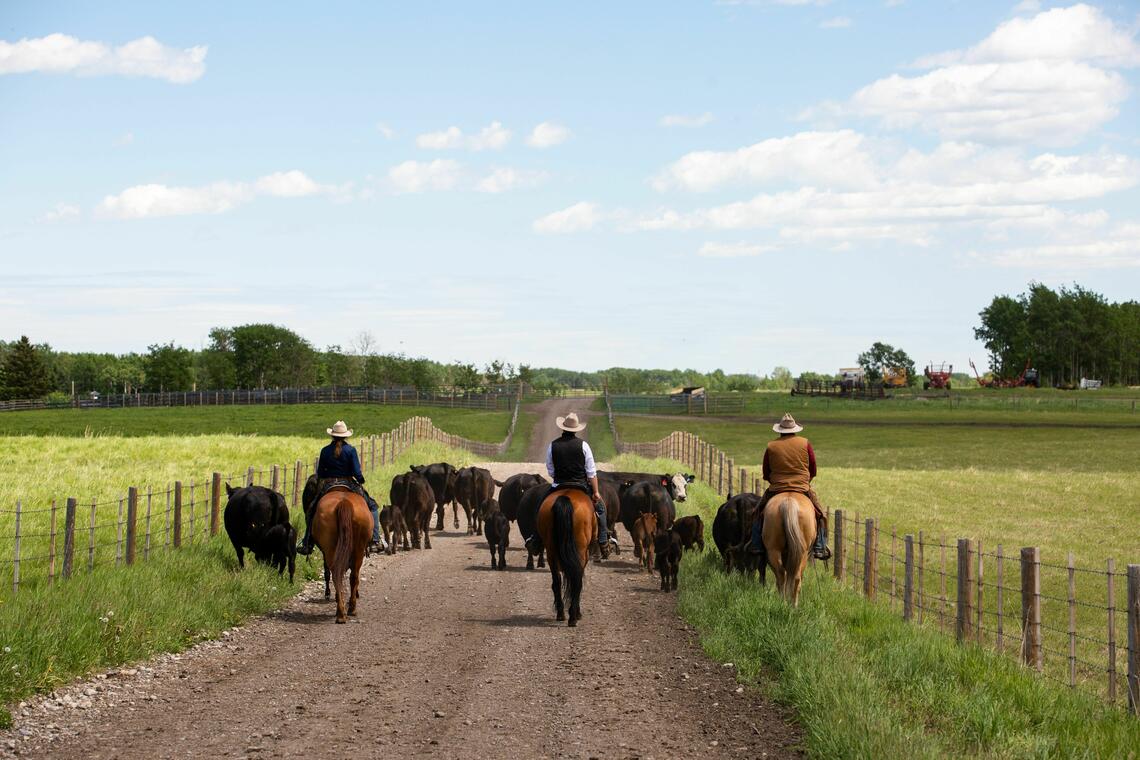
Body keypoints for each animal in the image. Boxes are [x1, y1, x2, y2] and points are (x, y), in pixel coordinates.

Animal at [310, 487, 371, 624]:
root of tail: (344, 502)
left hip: (333, 549)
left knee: (339, 575)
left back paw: (341, 612)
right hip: (357, 550)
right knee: (351, 576)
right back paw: (349, 609)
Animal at [538, 489, 601, 628]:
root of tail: (565, 497)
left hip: (551, 552)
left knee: (556, 582)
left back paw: (561, 613)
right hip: (581, 552)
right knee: (577, 582)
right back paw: (573, 616)